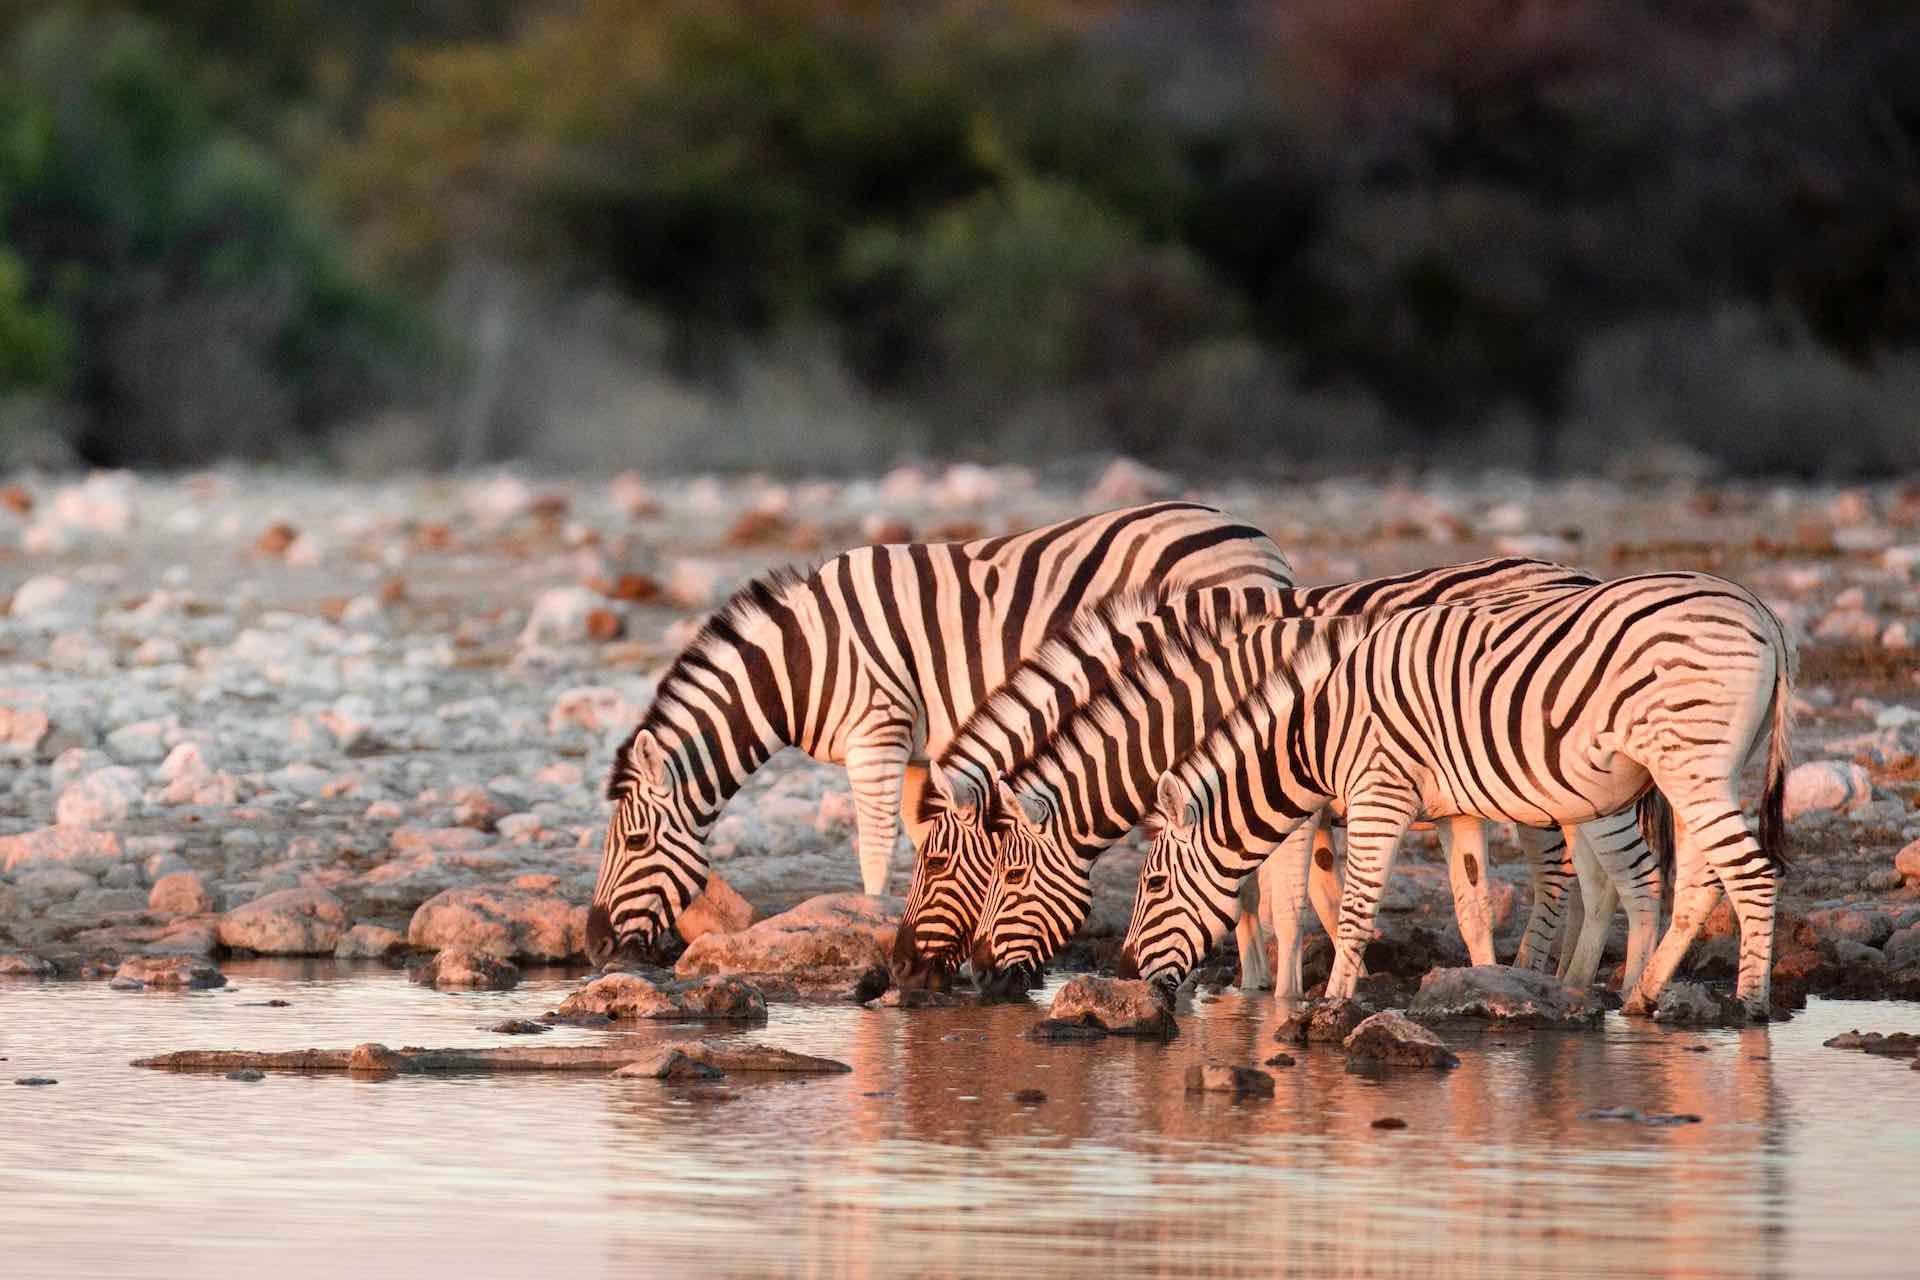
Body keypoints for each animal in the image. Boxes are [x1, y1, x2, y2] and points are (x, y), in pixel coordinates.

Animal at [579, 506, 1290, 967]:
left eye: (633, 842)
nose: (592, 946)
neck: (797, 664)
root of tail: (1259, 538)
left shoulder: (877, 730)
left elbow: (872, 847)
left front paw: (863, 922)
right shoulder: (921, 752)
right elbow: (927, 838)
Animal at [890, 556, 1643, 997]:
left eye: (943, 866)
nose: (904, 967)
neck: (1199, 695)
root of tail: (1569, 571)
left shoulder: (1283, 787)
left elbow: (1285, 897)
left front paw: (1282, 996)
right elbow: (1265, 890)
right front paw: (1264, 982)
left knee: (1561, 875)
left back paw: (1540, 976)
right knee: (1594, 875)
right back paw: (1565, 982)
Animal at [1121, 571, 1789, 1020]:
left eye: (1153, 884)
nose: (1125, 970)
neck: (1317, 733)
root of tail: (1762, 610)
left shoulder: (1379, 790)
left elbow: (1353, 904)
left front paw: (1330, 1006)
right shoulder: (1455, 811)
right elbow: (1470, 904)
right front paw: (1490, 987)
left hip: (1686, 764)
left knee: (1748, 874)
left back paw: (1750, 1005)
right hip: (1696, 772)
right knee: (1701, 883)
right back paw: (1642, 998)